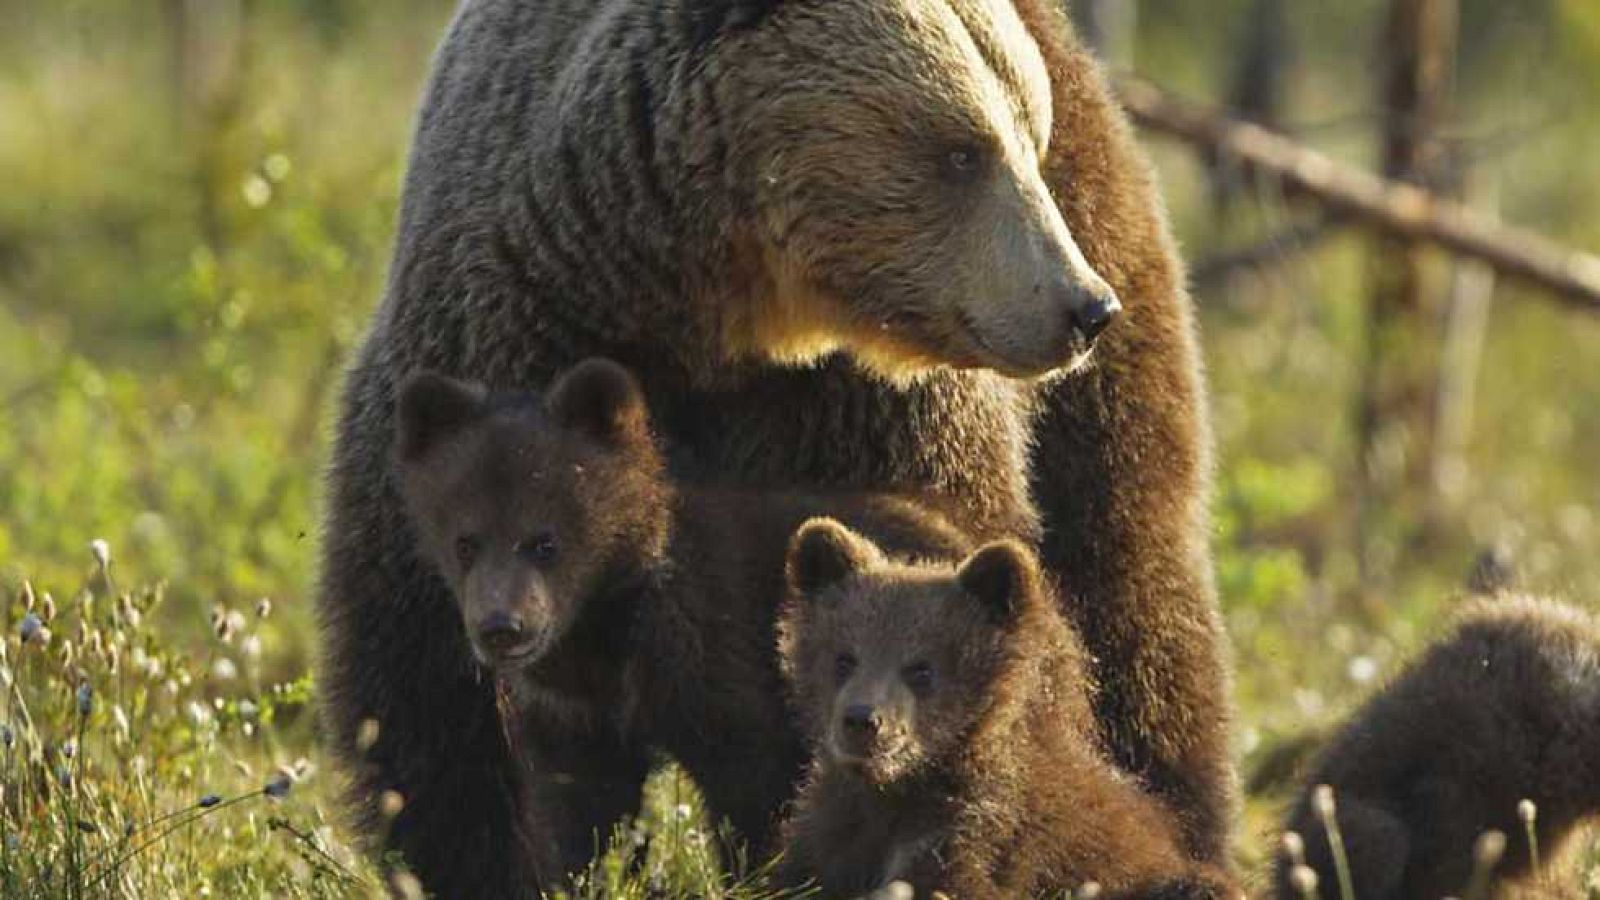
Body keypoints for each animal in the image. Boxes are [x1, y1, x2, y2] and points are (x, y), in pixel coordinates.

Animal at [392, 357, 975, 880]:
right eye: (465, 542)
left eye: (544, 541)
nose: (501, 628)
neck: (605, 637)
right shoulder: (572, 712)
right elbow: (579, 806)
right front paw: (586, 873)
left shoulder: (722, 655)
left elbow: (757, 788)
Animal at [776, 519, 1240, 900]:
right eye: (844, 658)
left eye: (921, 669)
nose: (862, 720)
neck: (896, 792)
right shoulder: (832, 830)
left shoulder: (979, 834)